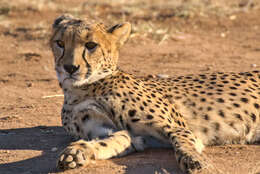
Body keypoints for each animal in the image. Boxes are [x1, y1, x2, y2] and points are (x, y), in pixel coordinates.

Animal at [50, 14, 260, 173]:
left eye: (91, 45)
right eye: (60, 43)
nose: (70, 68)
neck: (82, 90)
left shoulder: (178, 127)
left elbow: (183, 143)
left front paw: (195, 161)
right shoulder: (126, 135)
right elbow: (110, 142)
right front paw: (77, 153)